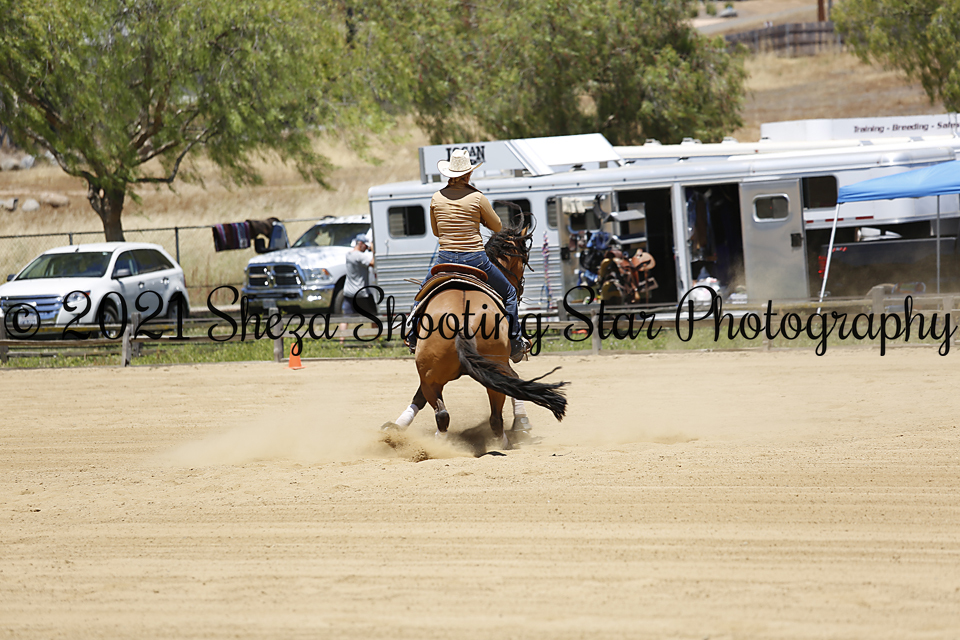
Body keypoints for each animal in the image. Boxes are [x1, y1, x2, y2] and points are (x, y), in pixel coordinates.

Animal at [394, 225, 567, 450]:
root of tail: (460, 320)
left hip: (430, 374)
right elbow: (517, 382)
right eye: (523, 260)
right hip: (490, 368)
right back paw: (503, 442)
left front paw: (394, 427)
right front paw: (522, 423)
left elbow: (420, 398)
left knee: (442, 413)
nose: (520, 287)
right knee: (494, 416)